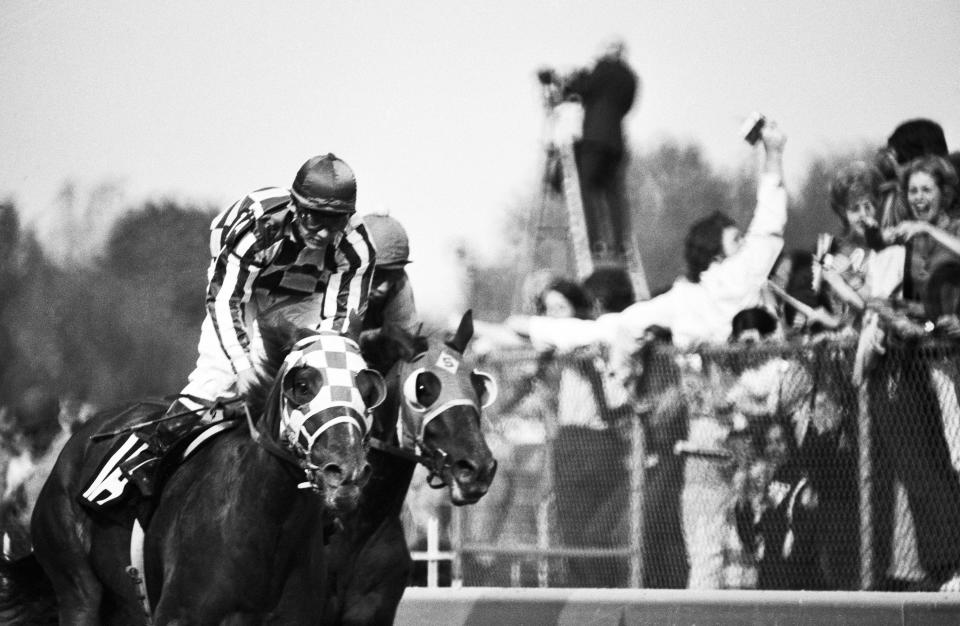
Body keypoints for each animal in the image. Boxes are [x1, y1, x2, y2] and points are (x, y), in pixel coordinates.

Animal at [4, 320, 386, 620]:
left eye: (369, 392)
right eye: (303, 386)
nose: (346, 471)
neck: (266, 529)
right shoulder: (180, 615)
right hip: (76, 585)